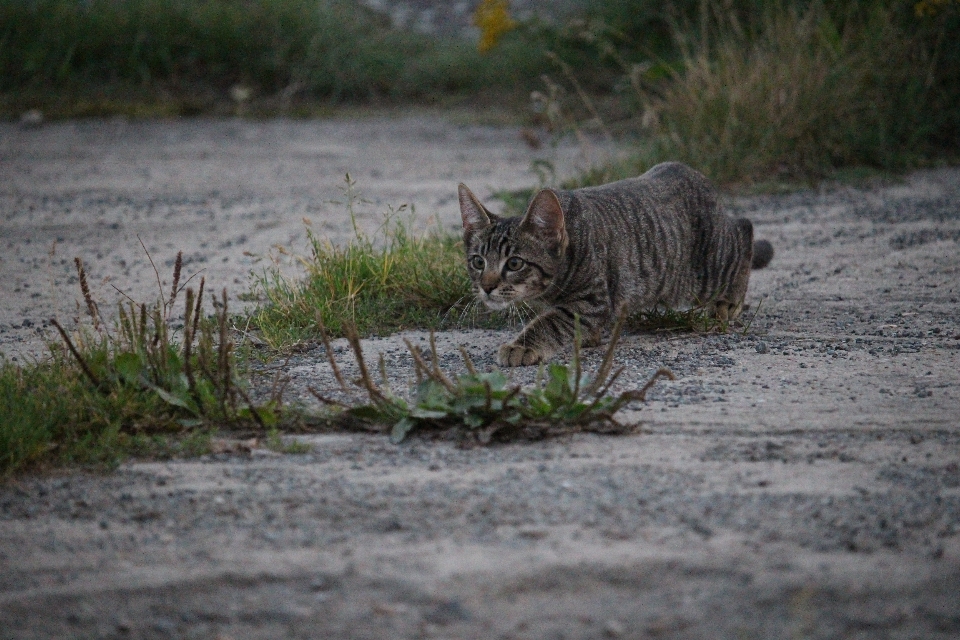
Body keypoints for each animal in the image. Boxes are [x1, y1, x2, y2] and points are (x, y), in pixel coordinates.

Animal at [458, 162, 772, 368]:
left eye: (514, 263)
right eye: (478, 261)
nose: (486, 287)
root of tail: (691, 172)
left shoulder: (592, 299)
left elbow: (552, 321)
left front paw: (522, 346)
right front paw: (588, 337)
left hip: (704, 273)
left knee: (743, 229)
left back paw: (729, 301)